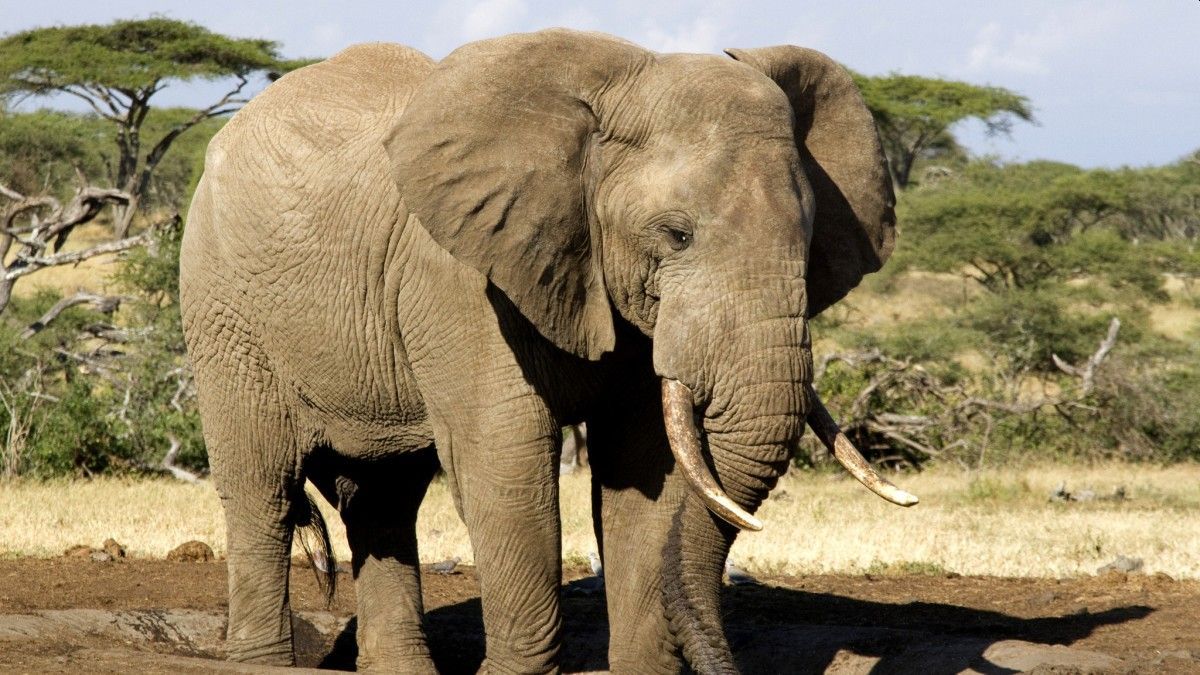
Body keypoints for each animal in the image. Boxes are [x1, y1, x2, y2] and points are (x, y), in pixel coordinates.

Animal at [180, 29, 915, 673]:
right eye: (675, 235)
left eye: (810, 238)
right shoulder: (459, 276)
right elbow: (507, 460)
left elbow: (645, 474)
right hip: (222, 307)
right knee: (263, 488)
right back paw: (261, 662)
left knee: (384, 502)